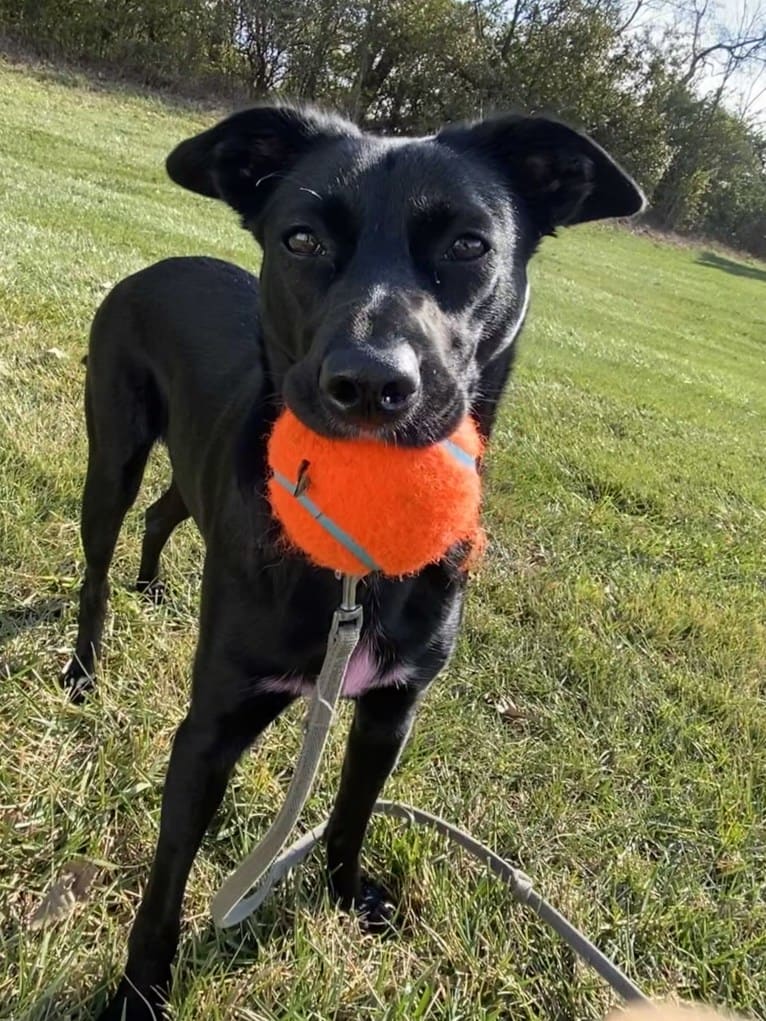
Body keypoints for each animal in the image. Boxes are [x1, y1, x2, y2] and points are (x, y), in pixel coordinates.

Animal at [63, 105, 645, 1021]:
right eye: (300, 238)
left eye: (470, 245)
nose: (370, 383)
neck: (354, 564)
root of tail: (159, 263)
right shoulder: (208, 733)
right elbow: (164, 888)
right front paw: (138, 996)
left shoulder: (391, 708)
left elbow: (350, 814)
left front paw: (344, 895)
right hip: (113, 449)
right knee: (100, 560)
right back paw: (86, 667)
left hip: (196, 471)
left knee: (165, 511)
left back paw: (153, 585)